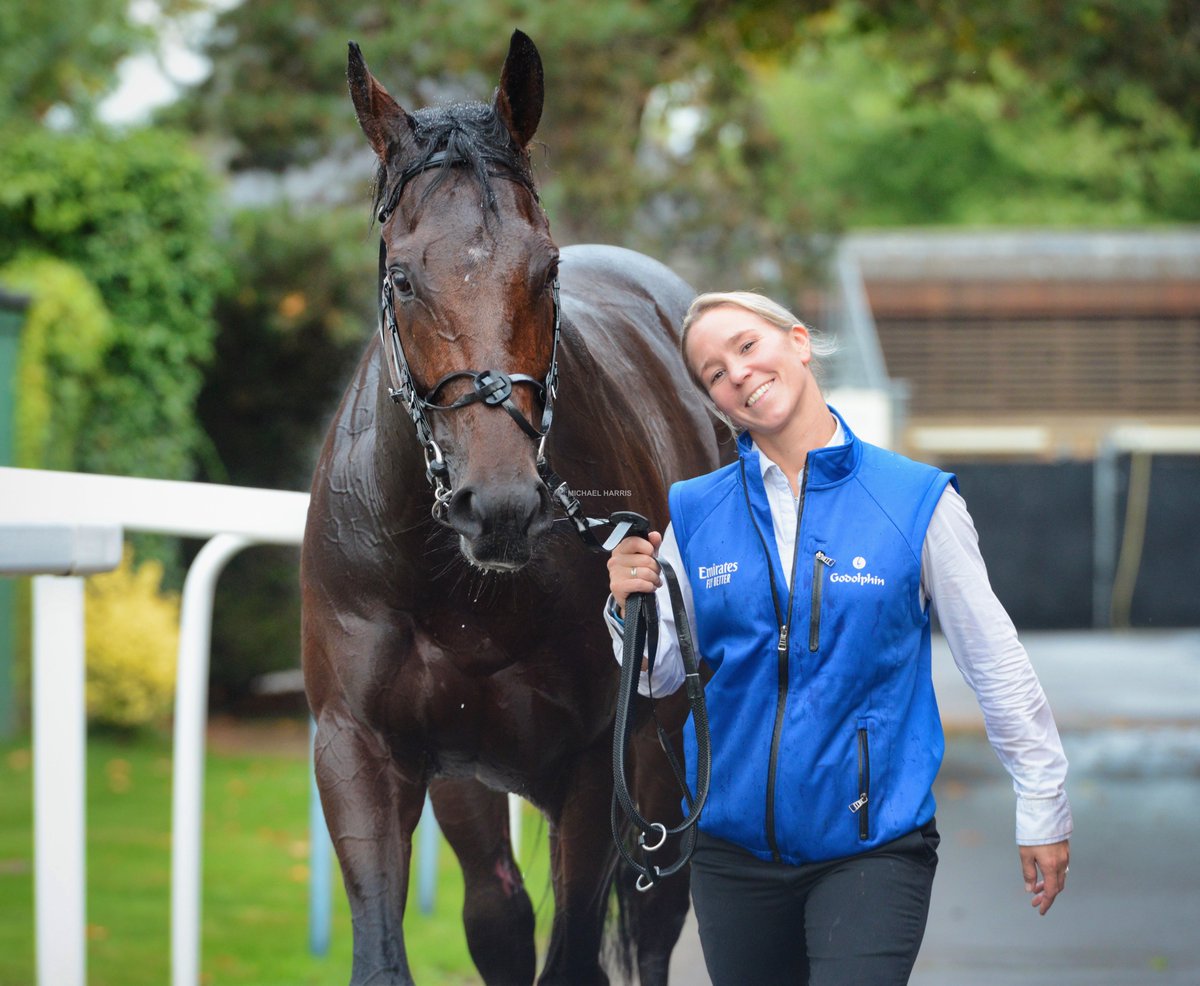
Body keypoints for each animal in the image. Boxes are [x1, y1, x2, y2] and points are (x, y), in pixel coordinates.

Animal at [302, 28, 720, 986]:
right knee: (497, 910)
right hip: (469, 779)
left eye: (547, 267)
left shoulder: (597, 767)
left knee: (653, 920)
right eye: (404, 278)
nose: (497, 506)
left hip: (661, 759)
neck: (463, 591)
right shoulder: (357, 750)